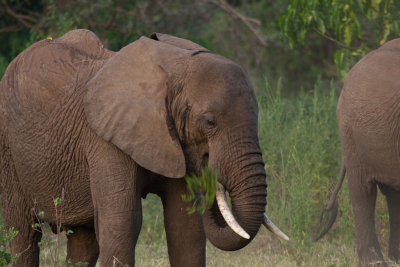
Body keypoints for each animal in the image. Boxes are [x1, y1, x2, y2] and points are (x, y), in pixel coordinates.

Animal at [0, 29, 288, 267]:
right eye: (209, 122)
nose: (209, 170)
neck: (173, 64)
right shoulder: (105, 138)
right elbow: (123, 222)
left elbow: (185, 225)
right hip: (7, 150)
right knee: (22, 234)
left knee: (84, 241)